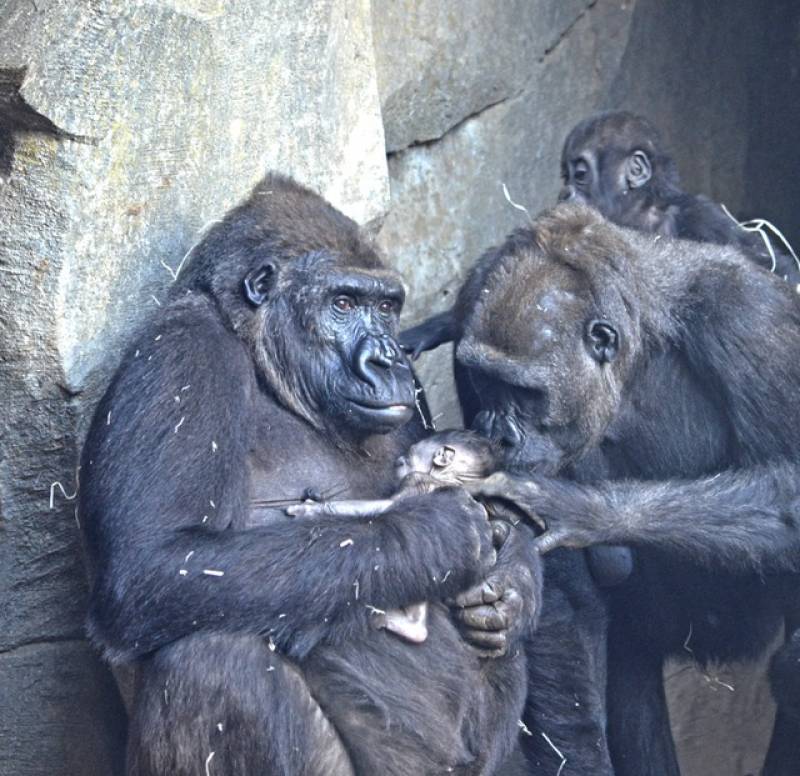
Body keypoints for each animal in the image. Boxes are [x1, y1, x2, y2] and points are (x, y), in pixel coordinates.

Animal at [78, 174, 536, 776]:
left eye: (385, 307)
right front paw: (439, 536)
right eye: (342, 303)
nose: (388, 360)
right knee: (213, 659)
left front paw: (513, 588)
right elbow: (155, 563)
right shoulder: (179, 353)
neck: (262, 362)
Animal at [456, 205, 800, 776]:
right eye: (485, 384)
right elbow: (567, 605)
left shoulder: (751, 316)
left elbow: (793, 490)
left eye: (523, 393)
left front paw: (580, 510)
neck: (640, 348)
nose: (497, 433)